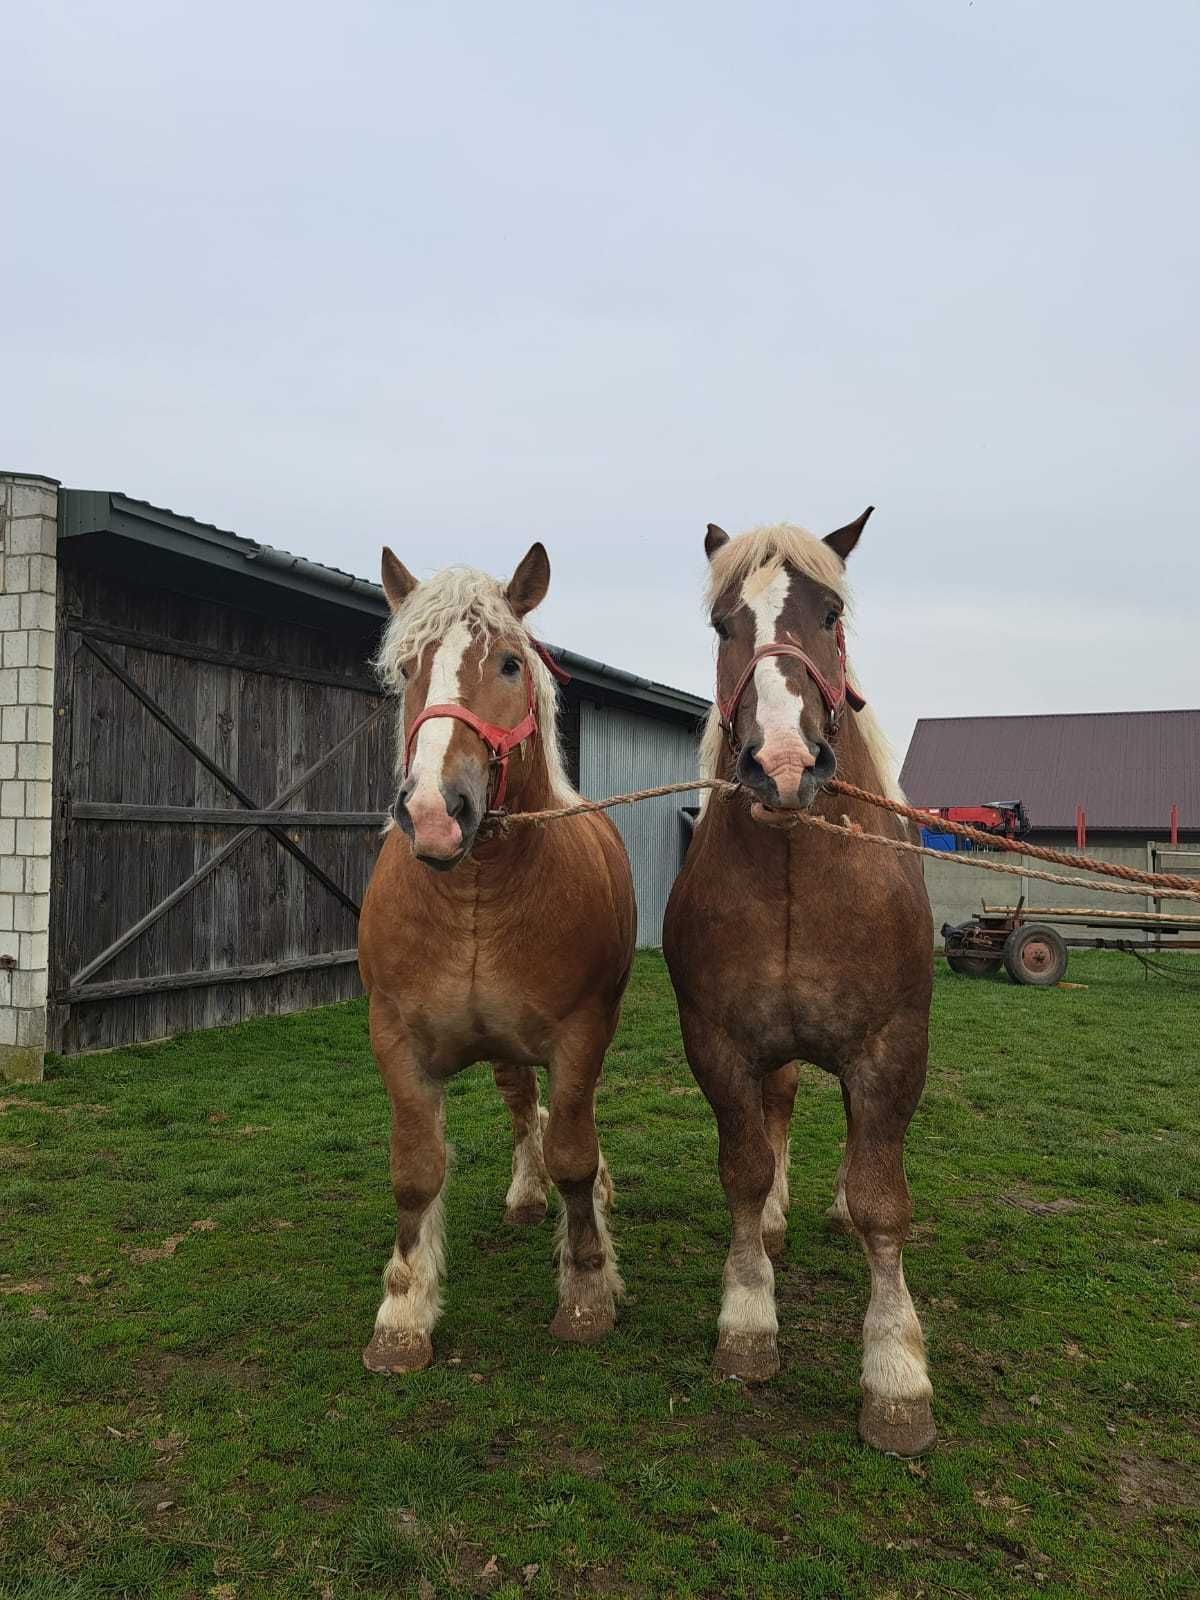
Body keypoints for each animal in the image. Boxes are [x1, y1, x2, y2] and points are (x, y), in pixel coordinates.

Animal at [356, 547, 640, 1376]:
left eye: (510, 663)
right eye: (408, 668)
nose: (432, 812)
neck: (476, 892)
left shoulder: (581, 1037)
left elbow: (574, 1153)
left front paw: (586, 1291)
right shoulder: (397, 1042)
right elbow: (416, 1169)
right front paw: (403, 1311)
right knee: (520, 1106)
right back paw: (524, 1193)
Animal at [668, 505, 940, 1459]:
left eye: (830, 614)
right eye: (723, 626)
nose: (784, 762)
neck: (796, 864)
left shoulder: (891, 1050)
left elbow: (884, 1202)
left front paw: (896, 1375)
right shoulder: (719, 1046)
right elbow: (746, 1170)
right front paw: (748, 1321)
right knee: (782, 1107)